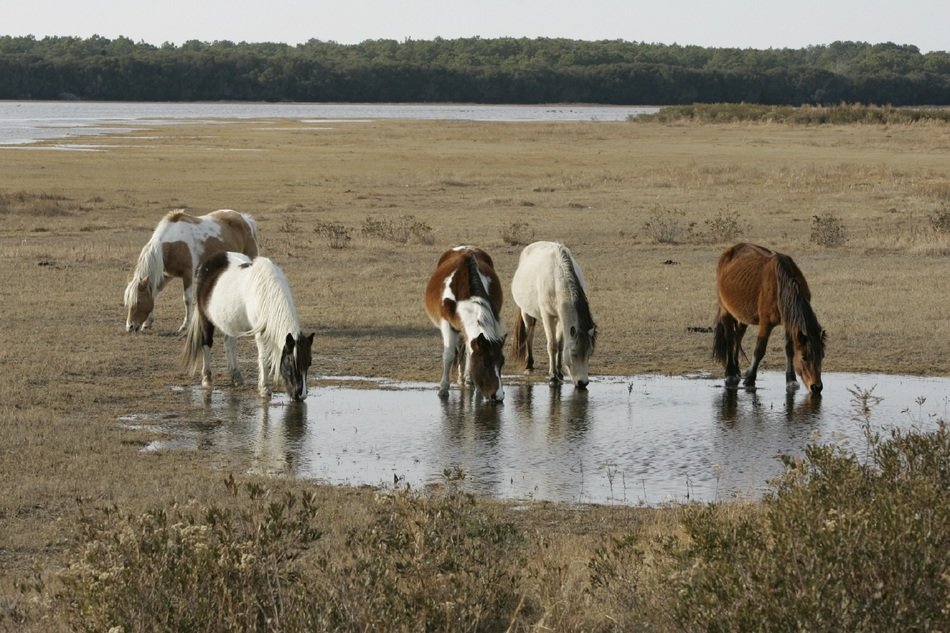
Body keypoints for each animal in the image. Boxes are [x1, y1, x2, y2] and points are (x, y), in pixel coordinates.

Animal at [124, 209, 259, 333]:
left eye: (138, 302)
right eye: (128, 303)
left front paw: (185, 326)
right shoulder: (167, 275)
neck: (172, 244)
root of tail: (245, 219)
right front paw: (147, 323)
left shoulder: (187, 274)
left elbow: (187, 299)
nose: (130, 327)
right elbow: (155, 294)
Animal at [182, 251, 314, 401]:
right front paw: (264, 388)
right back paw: (206, 379)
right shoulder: (261, 333)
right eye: (291, 362)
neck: (266, 291)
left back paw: (236, 376)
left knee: (229, 344)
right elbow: (263, 358)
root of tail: (207, 264)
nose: (301, 395)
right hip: (205, 319)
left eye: (309, 363)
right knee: (207, 343)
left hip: (230, 322)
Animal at [424, 246, 506, 401]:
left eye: (502, 362)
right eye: (485, 362)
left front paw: (471, 382)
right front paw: (443, 388)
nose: (497, 396)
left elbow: (469, 352)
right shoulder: (447, 324)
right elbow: (449, 355)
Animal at [511, 241, 597, 388]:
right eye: (574, 353)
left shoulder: (562, 319)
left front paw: (559, 372)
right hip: (526, 313)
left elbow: (560, 345)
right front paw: (552, 376)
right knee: (529, 334)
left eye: (589, 353)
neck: (556, 280)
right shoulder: (547, 317)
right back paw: (529, 364)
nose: (582, 383)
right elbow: (552, 345)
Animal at [713, 242, 826, 395]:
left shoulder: (789, 323)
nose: (816, 387)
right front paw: (750, 378)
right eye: (804, 357)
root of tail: (730, 251)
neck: (781, 285)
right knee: (730, 339)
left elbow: (789, 350)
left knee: (738, 337)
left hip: (742, 317)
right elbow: (759, 350)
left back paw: (736, 370)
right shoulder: (766, 323)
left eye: (822, 356)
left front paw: (791, 379)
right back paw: (730, 373)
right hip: (726, 311)